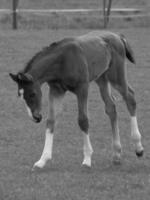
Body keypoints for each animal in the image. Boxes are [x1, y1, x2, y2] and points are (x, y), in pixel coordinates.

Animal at [9, 30, 144, 170]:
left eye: (33, 94)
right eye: (20, 95)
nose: (35, 117)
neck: (62, 61)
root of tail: (118, 36)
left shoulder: (82, 88)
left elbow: (83, 120)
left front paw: (87, 159)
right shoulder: (56, 90)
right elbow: (51, 120)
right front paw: (42, 160)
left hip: (116, 76)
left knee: (130, 98)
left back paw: (138, 147)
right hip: (101, 78)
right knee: (111, 107)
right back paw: (116, 154)